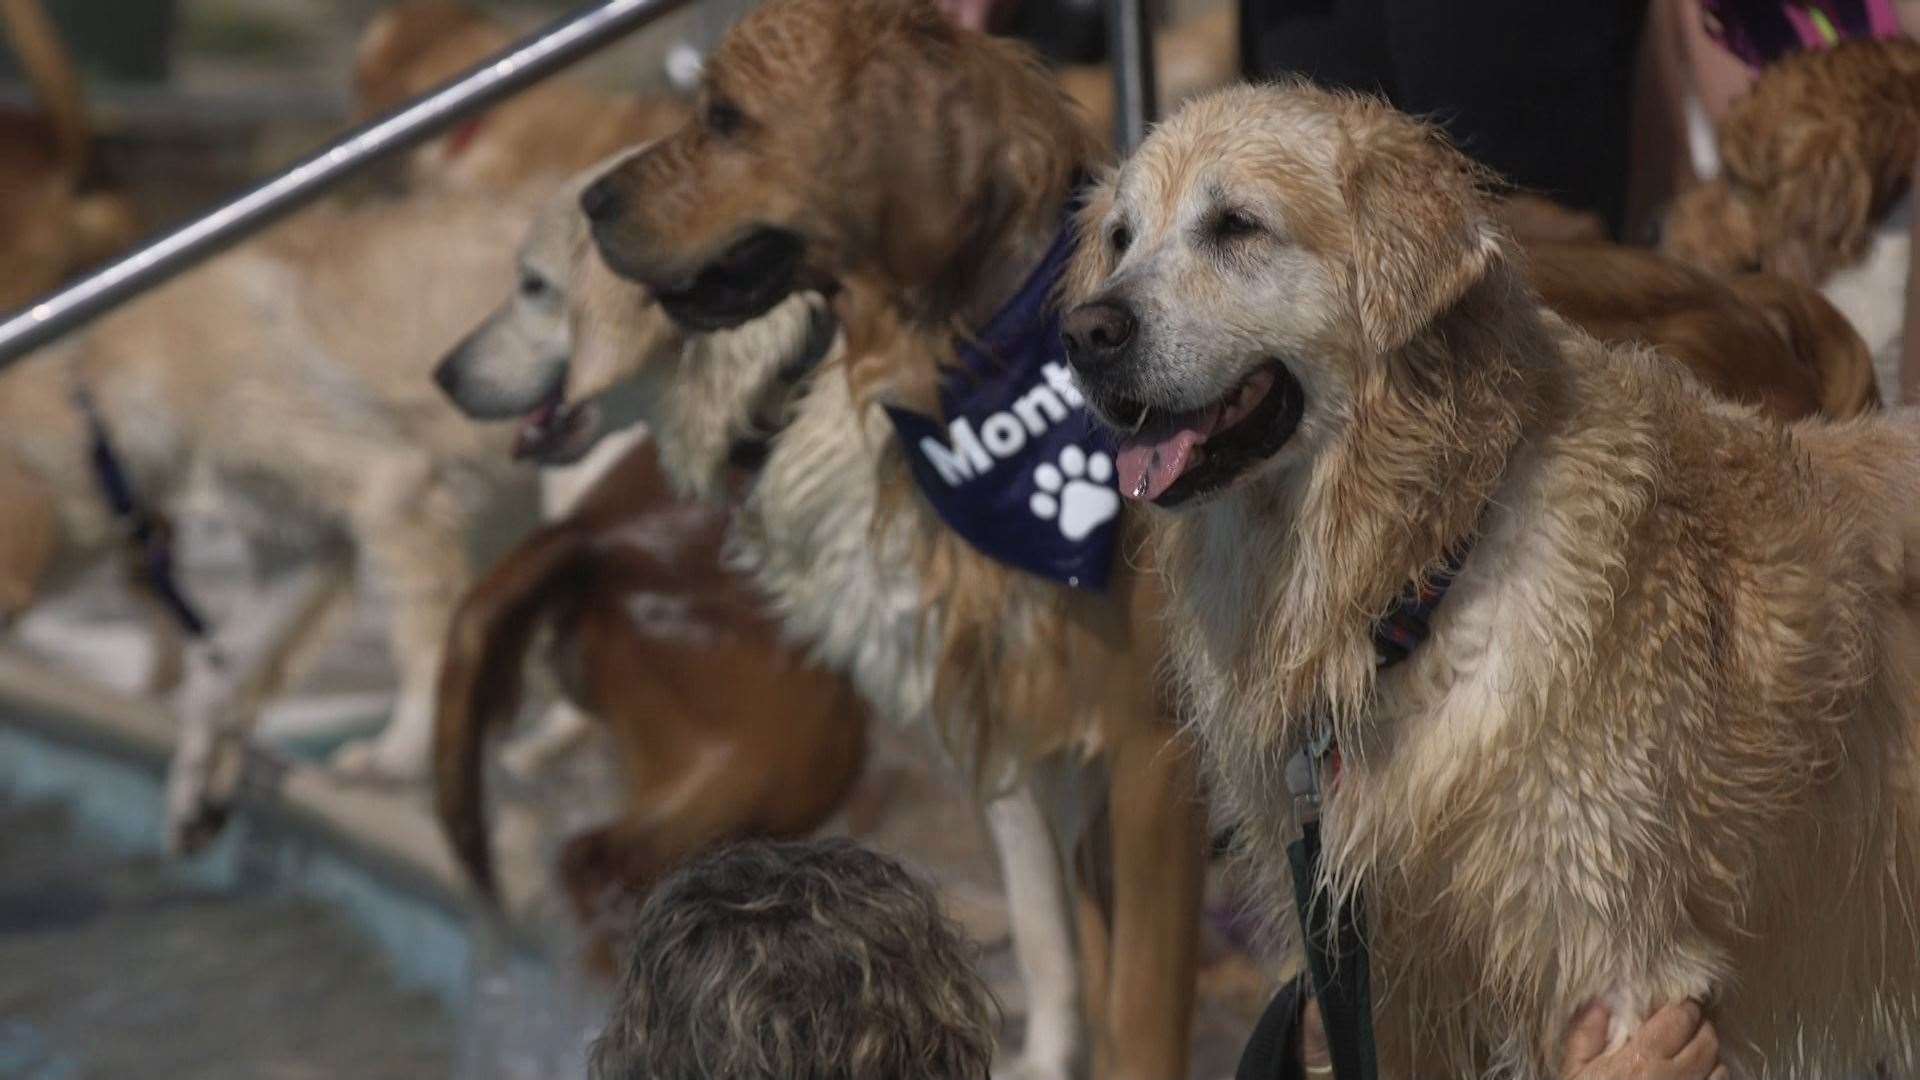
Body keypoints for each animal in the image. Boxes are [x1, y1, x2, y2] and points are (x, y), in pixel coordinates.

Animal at [1067, 82, 1920, 1076]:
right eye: (1121, 238)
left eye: (1235, 224)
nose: (1085, 333)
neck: (1424, 576)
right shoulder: (1386, 977)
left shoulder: (1618, 961)